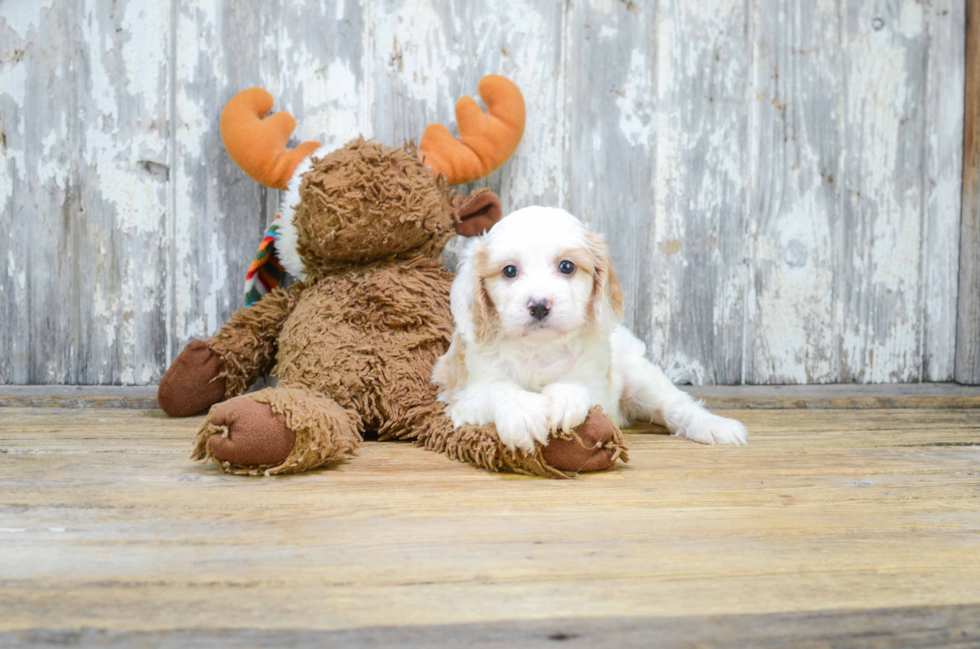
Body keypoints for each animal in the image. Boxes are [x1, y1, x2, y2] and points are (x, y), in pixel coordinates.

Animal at [432, 205, 748, 454]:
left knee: (676, 405)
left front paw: (564, 399)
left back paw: (715, 426)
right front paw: (522, 414)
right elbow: (498, 390)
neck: (539, 347)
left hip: (640, 377)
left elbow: (579, 385)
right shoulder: (464, 397)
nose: (539, 305)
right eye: (509, 271)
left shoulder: (598, 388)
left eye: (567, 266)